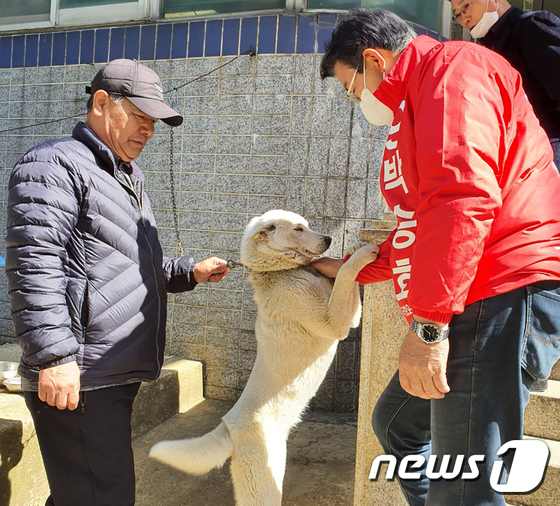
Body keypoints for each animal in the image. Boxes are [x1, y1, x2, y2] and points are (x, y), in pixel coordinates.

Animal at [149, 211, 378, 506]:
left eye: (307, 225)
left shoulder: (348, 316)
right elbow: (347, 275)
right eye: (298, 229)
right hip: (265, 480)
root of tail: (228, 427)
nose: (328, 239)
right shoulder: (336, 323)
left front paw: (353, 247)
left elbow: (345, 280)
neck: (282, 273)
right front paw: (361, 254)